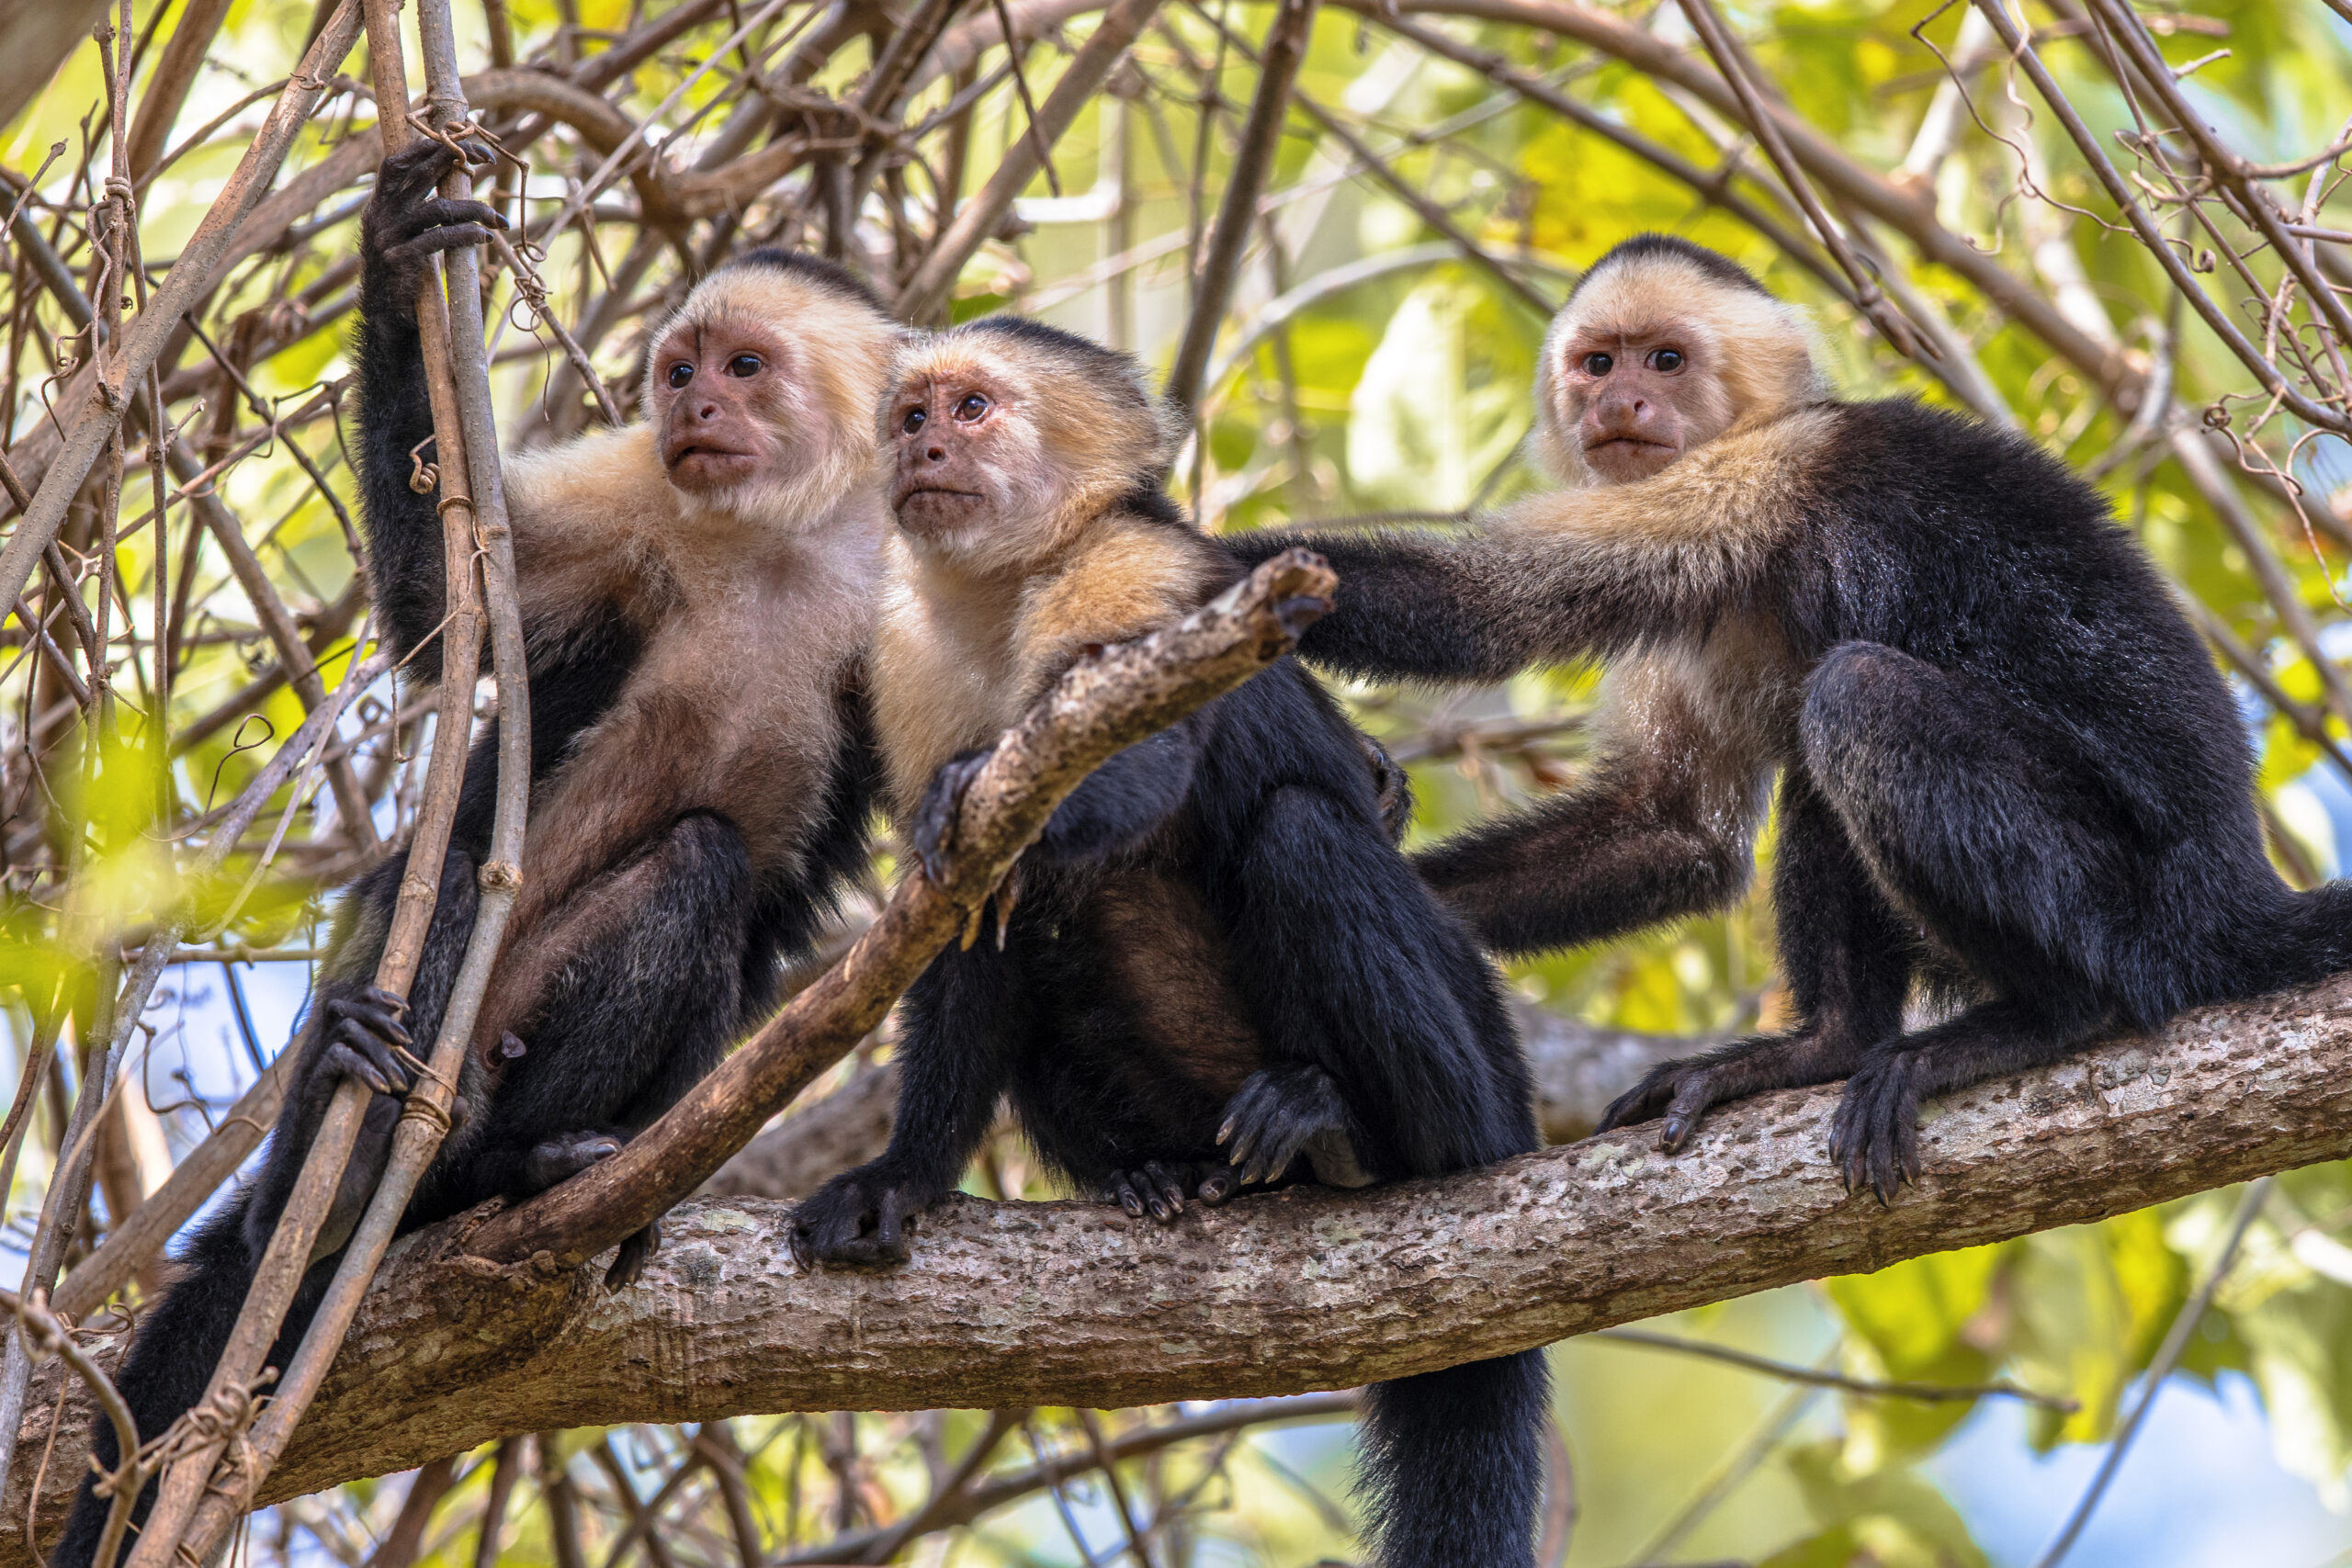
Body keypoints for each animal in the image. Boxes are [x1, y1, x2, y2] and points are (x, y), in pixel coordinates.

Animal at [53, 138, 900, 1568]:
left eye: (744, 366)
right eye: (682, 369)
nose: (695, 406)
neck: (782, 530)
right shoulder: (639, 490)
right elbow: (443, 627)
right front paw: (398, 262)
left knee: (708, 875)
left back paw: (521, 1173)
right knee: (438, 877)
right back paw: (340, 1149)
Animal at [787, 316, 1549, 1568]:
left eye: (972, 409)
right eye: (910, 414)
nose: (921, 450)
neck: (1008, 584)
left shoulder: (1135, 564)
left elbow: (1137, 752)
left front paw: (986, 788)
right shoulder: (902, 650)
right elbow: (960, 926)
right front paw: (903, 1177)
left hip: (1483, 1076)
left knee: (1302, 837)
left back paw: (1363, 1134)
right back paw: (1164, 1173)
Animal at [1228, 231, 2352, 1199]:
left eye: (1666, 360)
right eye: (1596, 363)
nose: (1622, 400)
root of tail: (2235, 887)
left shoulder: (1752, 477)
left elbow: (1477, 609)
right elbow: (1668, 829)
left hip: (2137, 903)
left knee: (1856, 697)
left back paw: (2046, 1017)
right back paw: (1830, 1045)